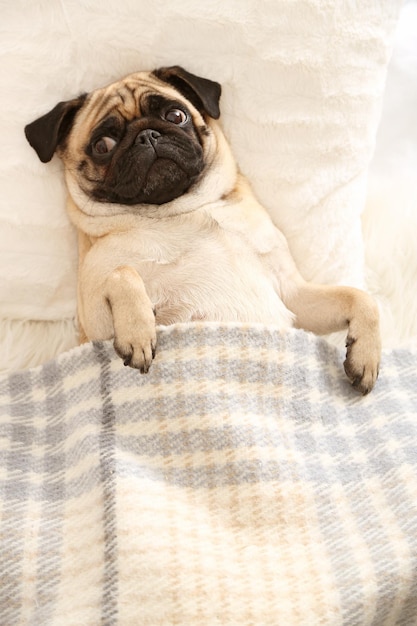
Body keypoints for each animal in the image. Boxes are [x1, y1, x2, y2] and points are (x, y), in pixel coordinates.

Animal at [25, 66, 380, 392]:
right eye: (103, 145)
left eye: (176, 115)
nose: (147, 135)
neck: (181, 211)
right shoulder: (94, 325)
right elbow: (123, 273)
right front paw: (138, 332)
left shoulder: (294, 297)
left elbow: (362, 298)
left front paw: (367, 355)